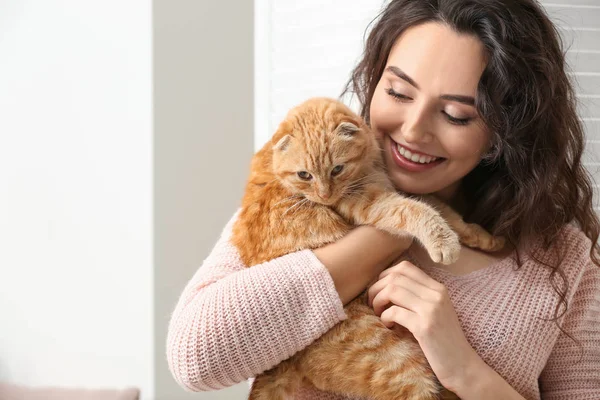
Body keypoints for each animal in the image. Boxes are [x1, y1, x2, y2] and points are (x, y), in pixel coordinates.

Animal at [232, 97, 504, 400]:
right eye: (304, 175)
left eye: (337, 169)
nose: (325, 196)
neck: (369, 165)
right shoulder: (370, 203)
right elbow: (415, 210)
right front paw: (444, 242)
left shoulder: (393, 187)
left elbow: (440, 207)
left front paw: (485, 238)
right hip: (400, 365)